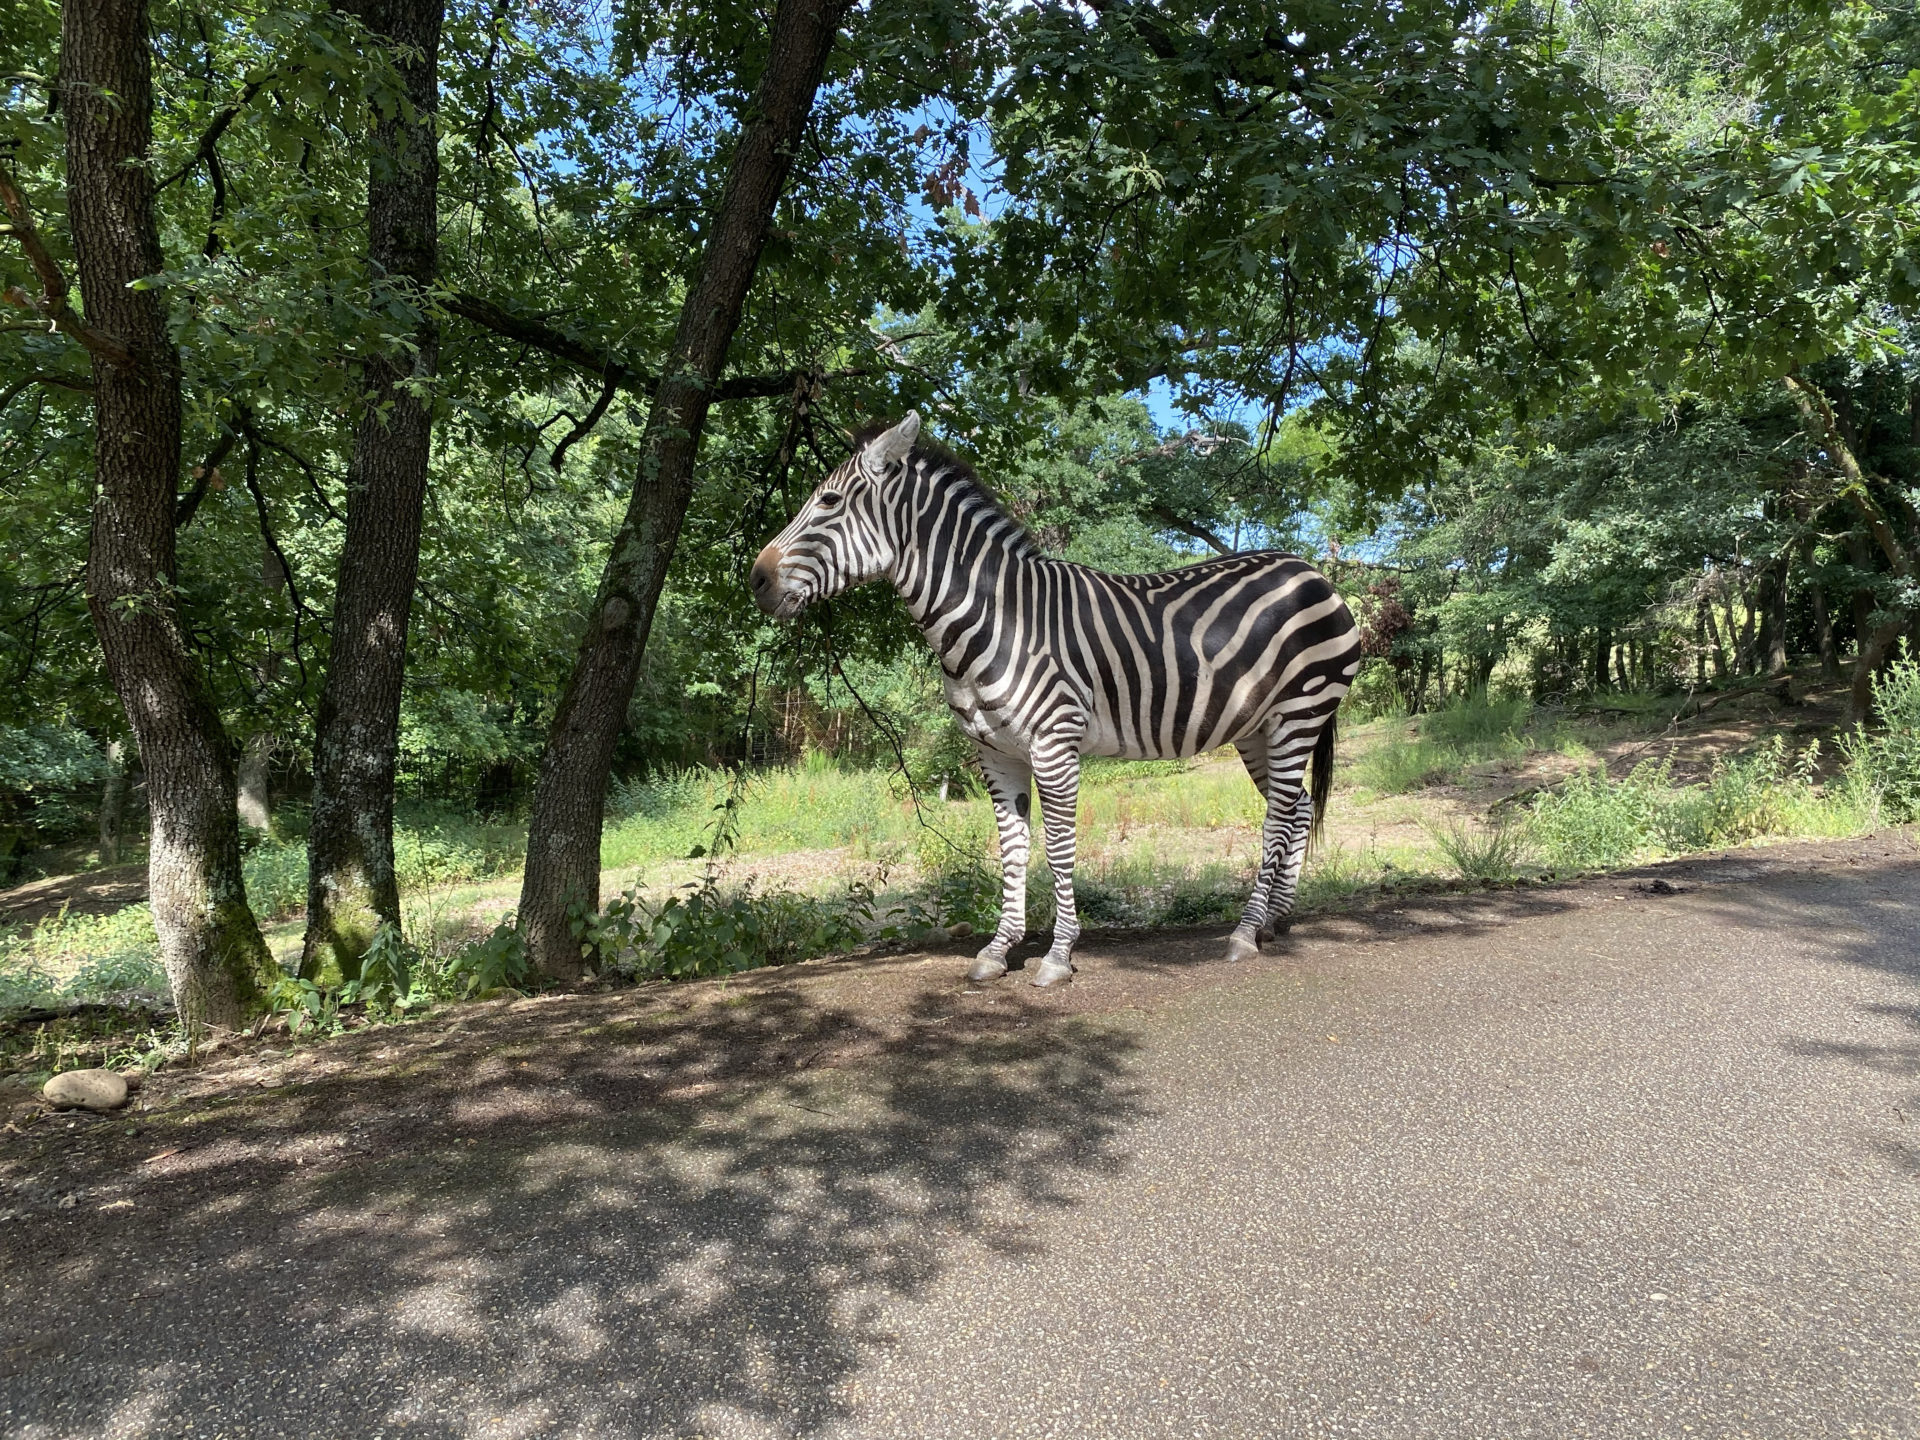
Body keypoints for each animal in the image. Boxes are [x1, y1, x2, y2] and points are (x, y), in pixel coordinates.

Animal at [748, 410, 1367, 990]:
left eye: (829, 501)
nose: (756, 580)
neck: (995, 618)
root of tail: (1311, 570)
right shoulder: (995, 753)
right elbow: (1013, 848)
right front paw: (999, 949)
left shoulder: (1054, 744)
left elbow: (1060, 845)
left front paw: (1058, 955)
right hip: (1256, 728)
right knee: (1298, 808)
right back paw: (1275, 922)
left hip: (1299, 712)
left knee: (1279, 816)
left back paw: (1245, 931)